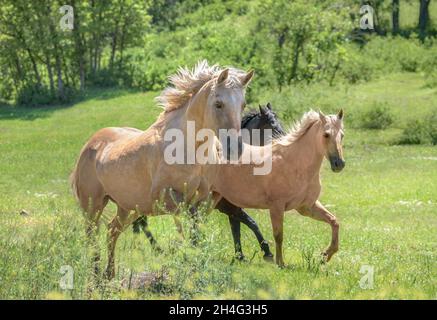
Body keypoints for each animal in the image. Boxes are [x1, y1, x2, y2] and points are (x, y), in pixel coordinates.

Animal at [70, 60, 254, 278]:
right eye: (219, 104)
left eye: (243, 105)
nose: (235, 148)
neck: (190, 149)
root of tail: (90, 145)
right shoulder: (165, 197)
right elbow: (187, 222)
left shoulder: (206, 198)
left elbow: (195, 230)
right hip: (93, 206)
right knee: (92, 236)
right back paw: (96, 276)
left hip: (128, 208)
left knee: (111, 230)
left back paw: (109, 274)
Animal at [131, 102, 286, 260]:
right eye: (272, 124)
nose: (284, 142)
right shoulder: (229, 207)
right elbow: (249, 224)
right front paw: (266, 251)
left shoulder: (230, 208)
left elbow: (237, 228)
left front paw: (240, 255)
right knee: (141, 223)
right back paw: (156, 249)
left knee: (138, 224)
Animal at [211, 109, 344, 266]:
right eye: (326, 134)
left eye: (342, 135)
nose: (339, 164)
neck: (295, 163)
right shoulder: (276, 207)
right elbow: (278, 235)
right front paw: (279, 262)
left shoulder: (306, 207)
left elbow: (334, 221)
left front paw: (326, 255)